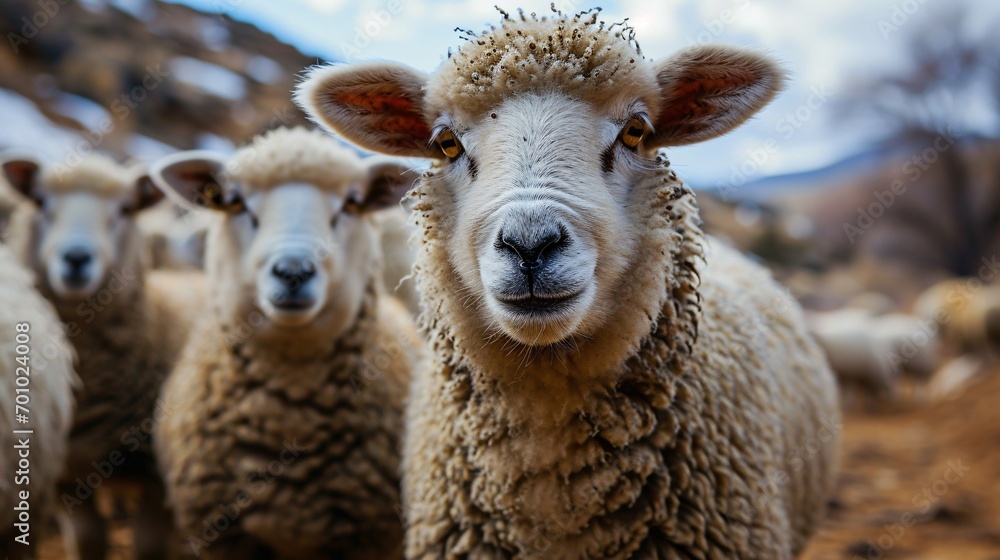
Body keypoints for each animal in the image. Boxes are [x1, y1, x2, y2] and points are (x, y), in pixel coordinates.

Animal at [0, 152, 206, 560]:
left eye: (125, 208)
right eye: (41, 202)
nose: (77, 257)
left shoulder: (158, 475)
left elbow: (148, 547)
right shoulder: (65, 473)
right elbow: (88, 541)